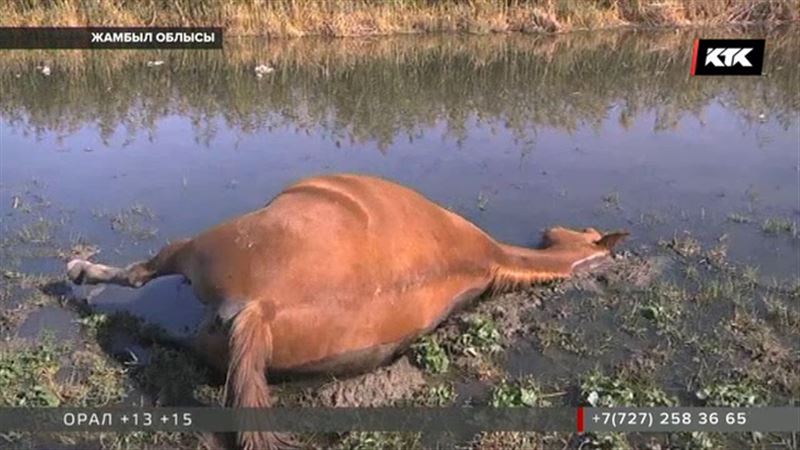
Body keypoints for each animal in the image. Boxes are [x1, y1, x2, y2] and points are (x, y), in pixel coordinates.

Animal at [65, 173, 628, 450]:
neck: (487, 256)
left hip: (200, 248)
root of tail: (264, 309)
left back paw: (79, 273)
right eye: (583, 230)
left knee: (141, 277)